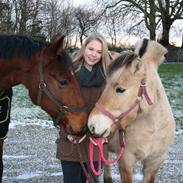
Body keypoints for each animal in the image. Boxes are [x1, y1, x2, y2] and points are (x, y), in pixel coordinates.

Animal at [88, 39, 175, 182]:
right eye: (103, 86)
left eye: (120, 89)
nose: (92, 125)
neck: (152, 128)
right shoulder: (126, 161)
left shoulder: (154, 163)